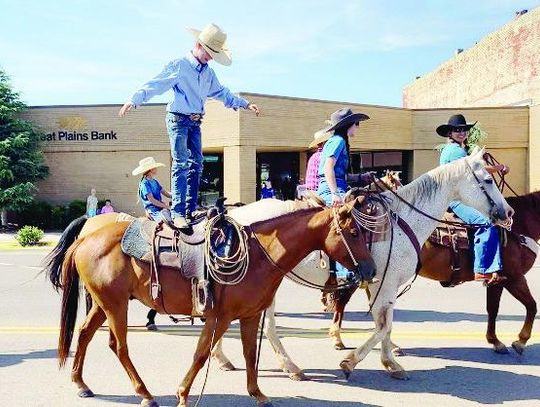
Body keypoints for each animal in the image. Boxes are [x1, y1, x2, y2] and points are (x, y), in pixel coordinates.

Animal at [45, 198, 376, 407]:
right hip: (115, 305)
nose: (371, 270)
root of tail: (86, 237)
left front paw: (257, 393)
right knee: (119, 346)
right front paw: (182, 395)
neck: (259, 254)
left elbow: (249, 355)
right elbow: (201, 354)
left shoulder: (250, 315)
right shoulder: (220, 316)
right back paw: (145, 394)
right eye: (354, 232)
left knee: (84, 334)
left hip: (103, 304)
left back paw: (81, 383)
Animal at [322, 190, 536, 356]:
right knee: (344, 300)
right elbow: (530, 306)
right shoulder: (513, 277)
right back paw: (338, 339)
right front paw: (519, 341)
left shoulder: (500, 280)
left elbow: (493, 309)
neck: (519, 226)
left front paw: (496, 341)